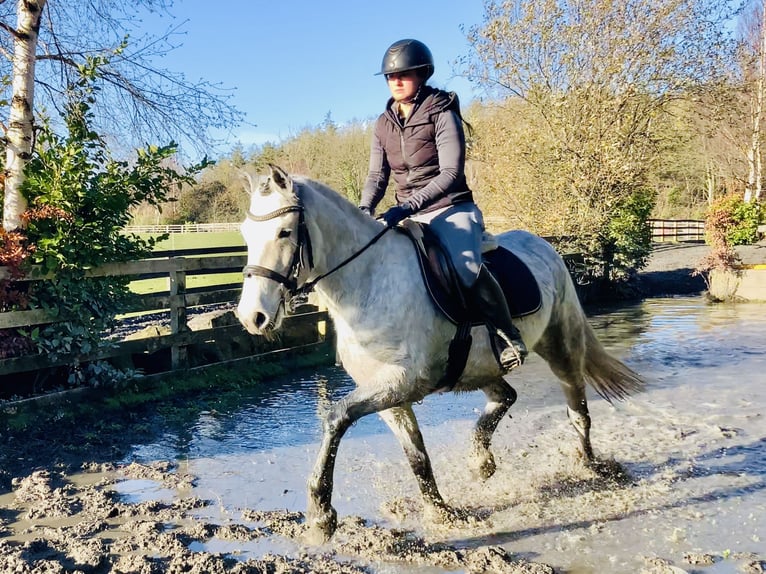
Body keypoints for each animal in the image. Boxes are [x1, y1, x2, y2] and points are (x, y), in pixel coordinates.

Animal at [236, 164, 645, 544]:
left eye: (284, 232)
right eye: (245, 234)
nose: (252, 317)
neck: (367, 282)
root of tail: (542, 244)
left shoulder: (401, 381)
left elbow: (335, 418)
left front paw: (321, 513)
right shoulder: (391, 397)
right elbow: (416, 455)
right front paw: (440, 511)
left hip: (560, 343)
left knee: (578, 409)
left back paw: (591, 467)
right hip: (481, 366)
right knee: (506, 396)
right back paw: (481, 461)